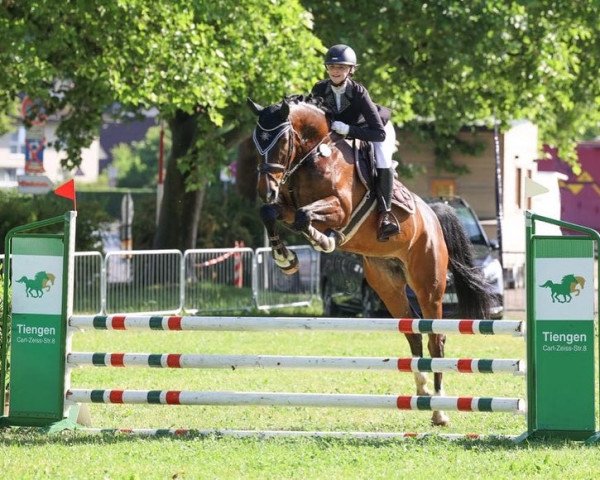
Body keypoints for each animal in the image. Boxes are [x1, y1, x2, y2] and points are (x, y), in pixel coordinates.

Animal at [247, 95, 492, 426]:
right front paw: (285, 258)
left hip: (429, 285)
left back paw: (440, 410)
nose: (265, 189)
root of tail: (433, 215)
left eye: (281, 141)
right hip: (388, 287)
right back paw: (423, 391)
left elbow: (305, 216)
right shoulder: (284, 205)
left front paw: (325, 240)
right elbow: (271, 213)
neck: (314, 156)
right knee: (413, 335)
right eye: (256, 141)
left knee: (435, 338)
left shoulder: (340, 207)